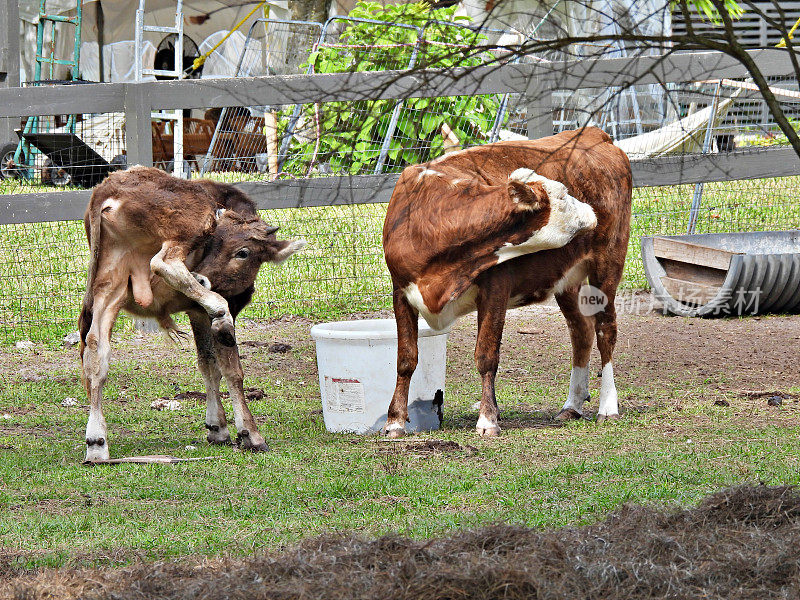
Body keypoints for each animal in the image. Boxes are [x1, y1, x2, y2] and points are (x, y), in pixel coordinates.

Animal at [79, 166, 304, 462]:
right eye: (213, 243)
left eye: (242, 252)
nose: (200, 275)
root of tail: (109, 186)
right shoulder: (218, 310)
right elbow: (231, 369)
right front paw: (250, 433)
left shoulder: (196, 314)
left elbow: (208, 365)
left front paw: (217, 427)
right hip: (195, 220)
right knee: (163, 262)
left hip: (110, 284)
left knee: (96, 351)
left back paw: (96, 442)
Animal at [382, 127, 632, 436]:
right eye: (563, 195)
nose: (591, 211)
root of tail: (595, 134)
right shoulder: (400, 290)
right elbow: (406, 358)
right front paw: (395, 422)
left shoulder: (496, 290)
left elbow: (486, 355)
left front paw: (488, 419)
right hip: (567, 278)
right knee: (581, 332)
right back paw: (572, 405)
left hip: (607, 263)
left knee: (605, 330)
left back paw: (608, 407)